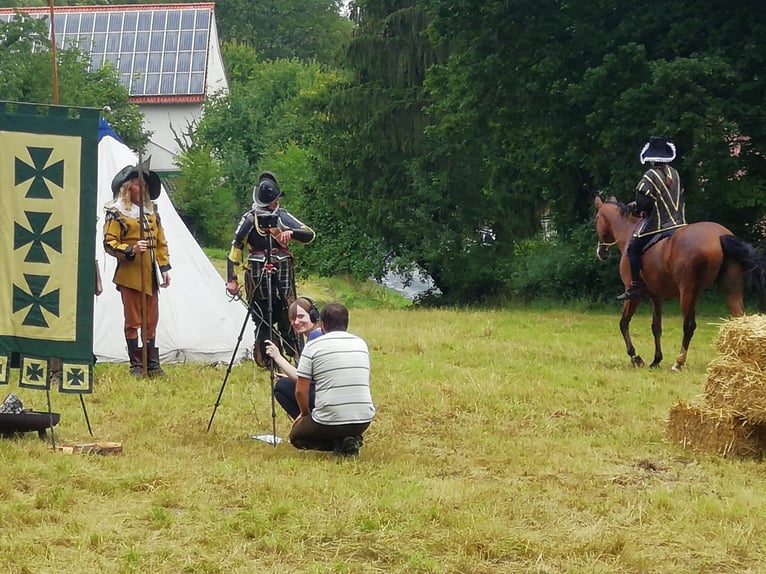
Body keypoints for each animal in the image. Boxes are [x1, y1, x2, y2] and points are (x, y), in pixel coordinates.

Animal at [596, 196, 764, 372]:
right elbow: (656, 327)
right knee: (739, 320)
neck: (628, 231)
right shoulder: (657, 296)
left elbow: (623, 323)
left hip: (687, 292)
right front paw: (656, 360)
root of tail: (720, 235)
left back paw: (679, 362)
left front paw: (636, 358)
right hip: (730, 288)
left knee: (689, 326)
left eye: (597, 218)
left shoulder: (633, 295)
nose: (601, 252)